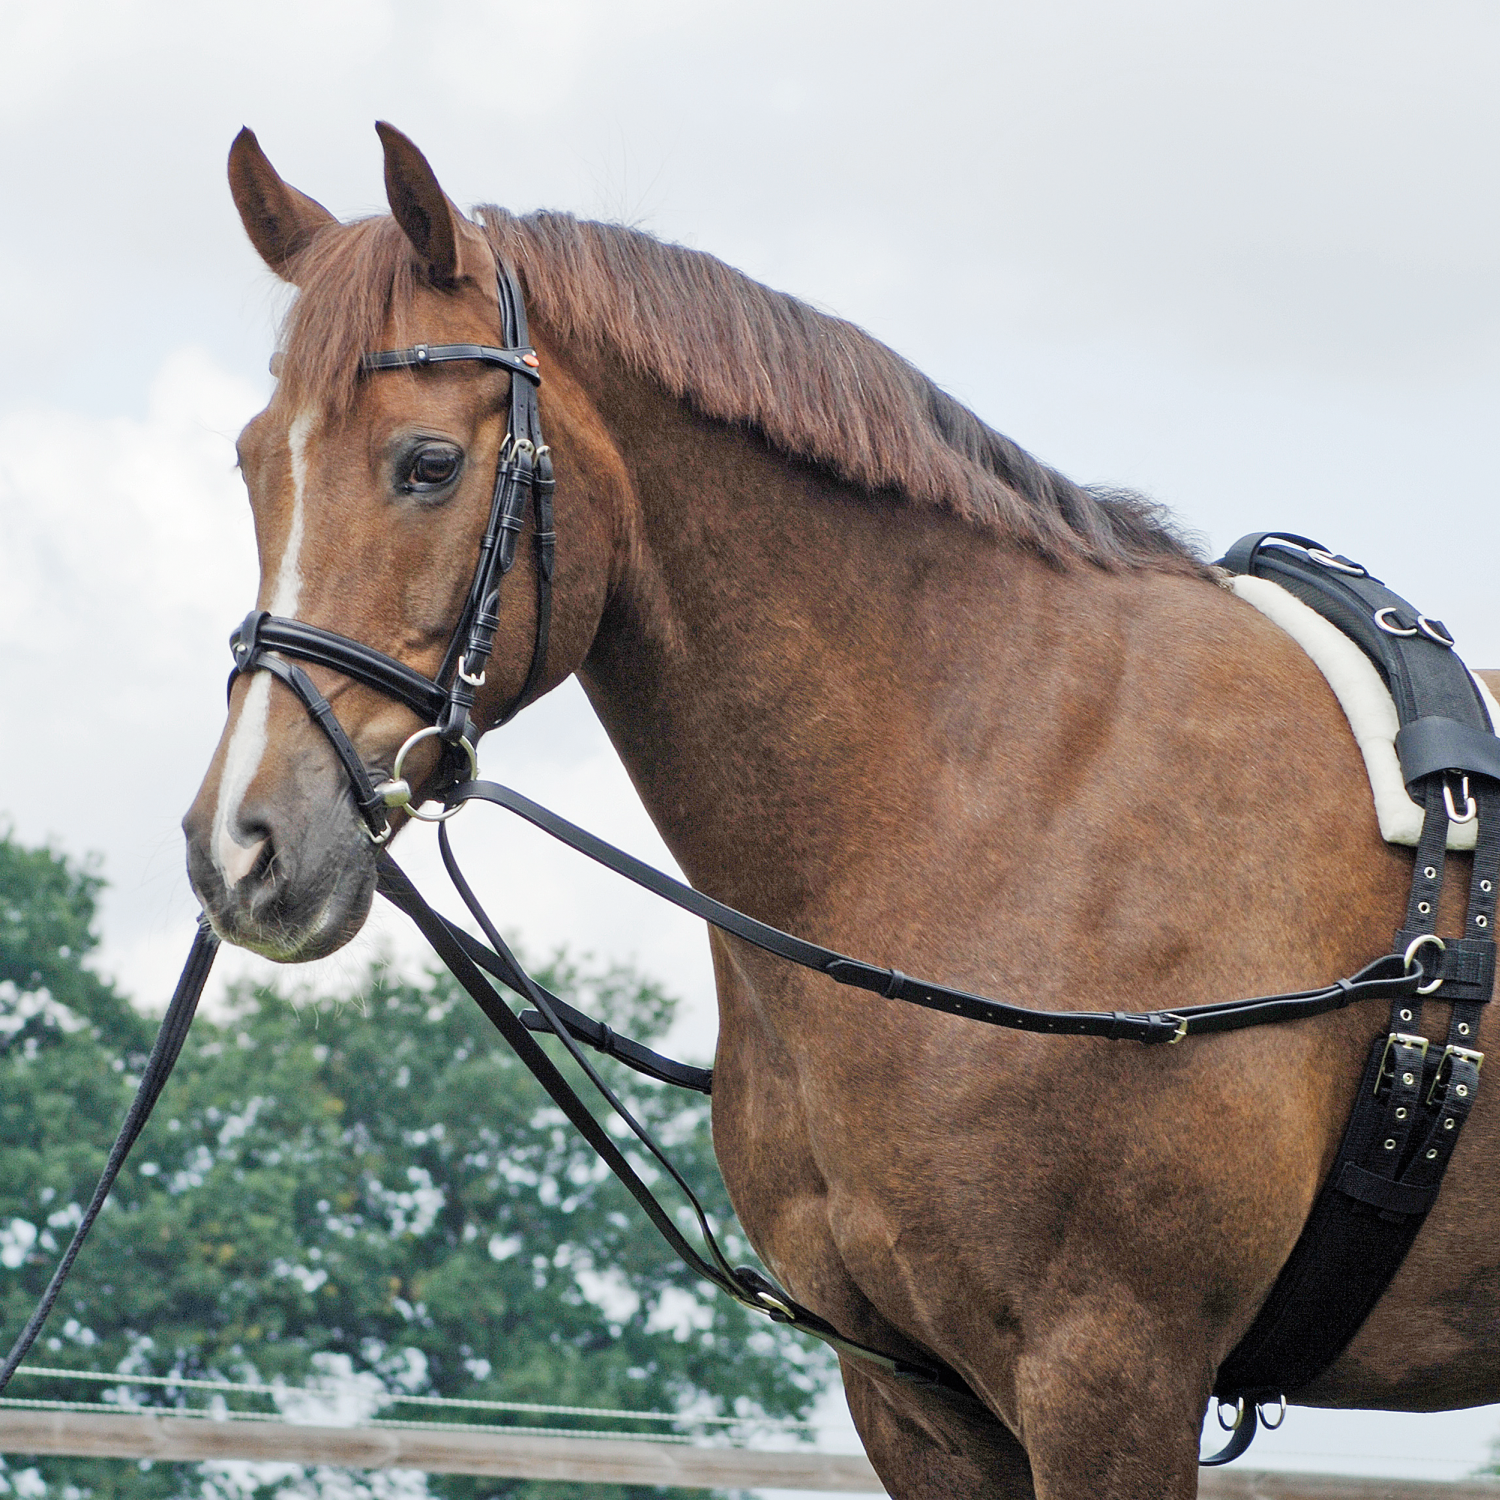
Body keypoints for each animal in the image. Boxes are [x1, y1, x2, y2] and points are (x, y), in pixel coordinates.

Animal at [181, 123, 1494, 1494]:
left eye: (427, 465)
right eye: (252, 465)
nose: (243, 846)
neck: (988, 795)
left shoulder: (1111, 1372)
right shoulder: (915, 1399)